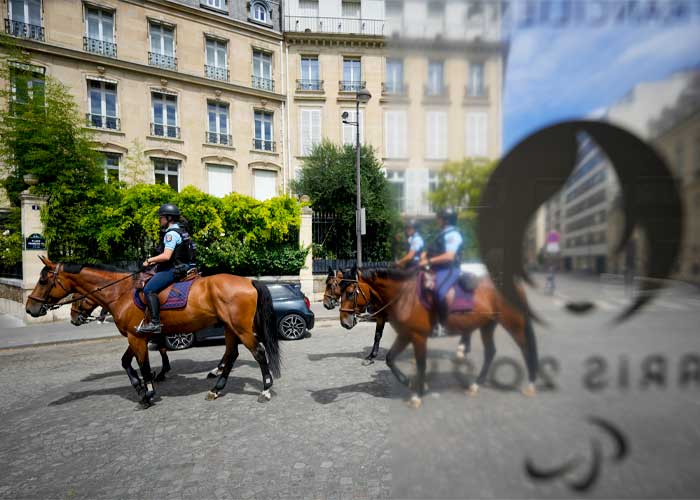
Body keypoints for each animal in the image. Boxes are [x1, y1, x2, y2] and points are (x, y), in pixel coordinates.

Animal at [28, 258, 278, 406]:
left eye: (43, 280)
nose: (30, 308)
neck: (120, 292)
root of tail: (249, 281)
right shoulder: (137, 335)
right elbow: (127, 361)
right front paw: (139, 387)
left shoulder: (137, 337)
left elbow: (144, 364)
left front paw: (147, 392)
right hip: (230, 328)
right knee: (232, 354)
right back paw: (216, 388)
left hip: (241, 328)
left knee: (258, 353)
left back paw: (265, 389)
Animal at [336, 268, 540, 408]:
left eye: (350, 292)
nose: (344, 322)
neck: (405, 297)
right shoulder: (406, 334)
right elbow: (390, 359)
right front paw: (409, 382)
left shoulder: (418, 337)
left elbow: (421, 364)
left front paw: (417, 394)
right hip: (487, 325)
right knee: (490, 352)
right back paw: (476, 385)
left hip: (513, 322)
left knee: (525, 347)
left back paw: (531, 385)